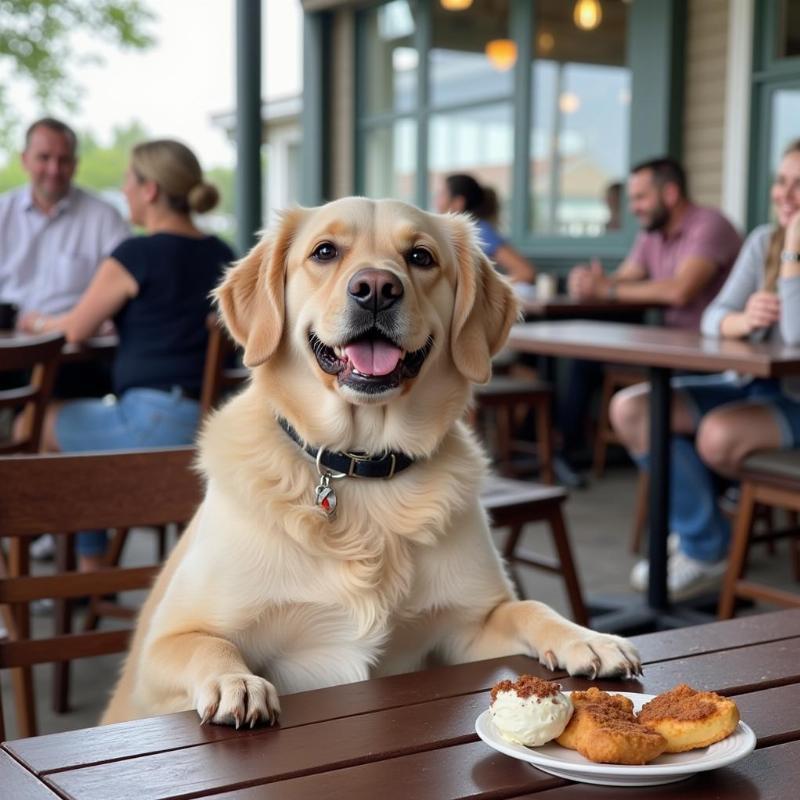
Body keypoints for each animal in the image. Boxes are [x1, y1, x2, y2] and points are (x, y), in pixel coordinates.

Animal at [103, 197, 640, 728]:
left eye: (421, 257)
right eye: (324, 251)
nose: (377, 288)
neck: (360, 465)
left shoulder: (470, 626)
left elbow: (529, 606)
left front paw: (587, 637)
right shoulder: (165, 646)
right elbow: (206, 646)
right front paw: (235, 681)